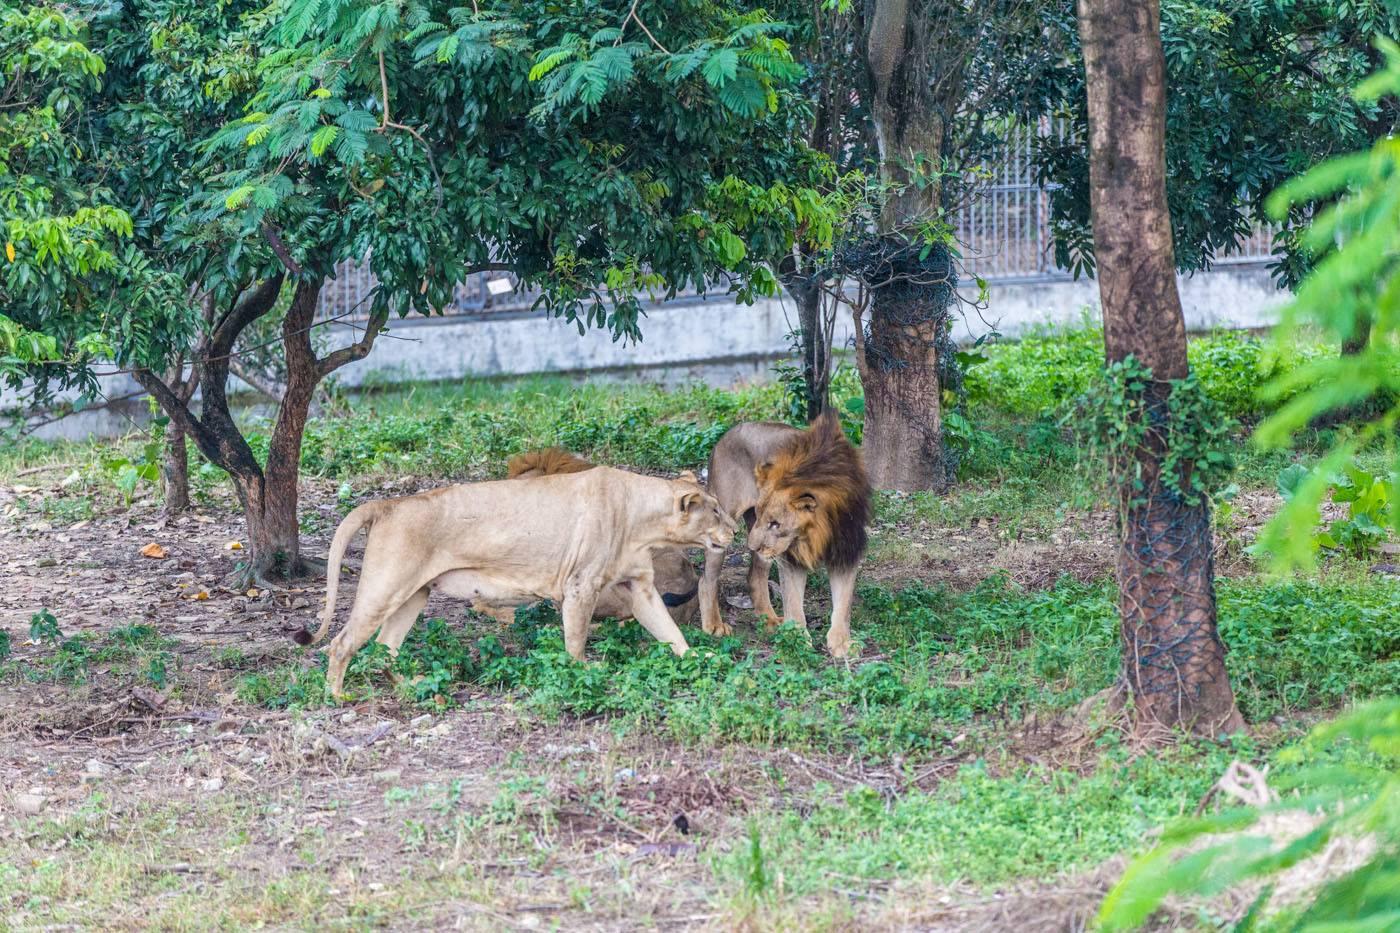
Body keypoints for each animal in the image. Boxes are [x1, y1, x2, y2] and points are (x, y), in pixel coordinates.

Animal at [705, 411, 868, 658]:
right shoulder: (791, 558)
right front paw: (798, 640)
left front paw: (842, 643)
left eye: (775, 523)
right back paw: (713, 626)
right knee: (706, 578)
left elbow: (843, 603)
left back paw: (771, 621)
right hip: (725, 527)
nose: (751, 546)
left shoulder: (846, 553)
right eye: (763, 516)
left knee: (755, 576)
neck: (817, 531)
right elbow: (793, 602)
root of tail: (724, 437)